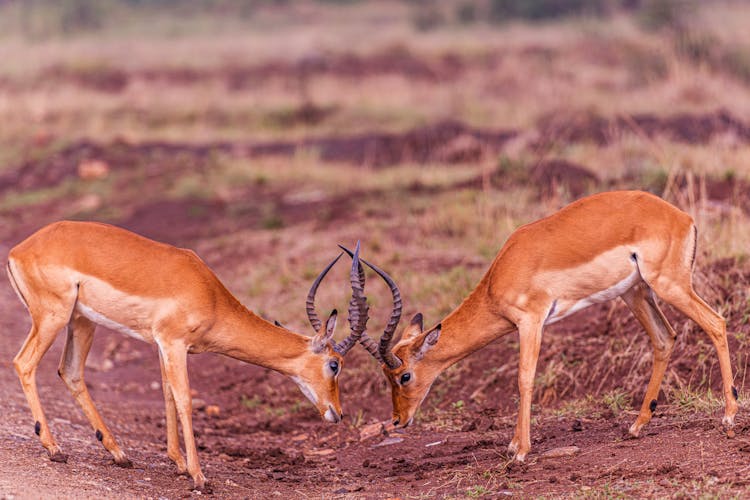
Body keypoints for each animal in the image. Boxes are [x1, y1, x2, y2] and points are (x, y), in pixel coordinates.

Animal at [5, 221, 370, 490]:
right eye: (335, 364)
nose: (337, 413)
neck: (210, 294)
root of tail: (18, 250)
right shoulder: (174, 343)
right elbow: (183, 399)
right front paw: (199, 476)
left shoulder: (162, 344)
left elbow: (167, 394)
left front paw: (178, 464)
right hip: (53, 317)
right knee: (24, 363)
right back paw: (54, 449)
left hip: (81, 321)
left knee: (70, 371)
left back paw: (119, 454)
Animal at [346, 190, 740, 460]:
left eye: (404, 376)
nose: (398, 420)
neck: (502, 273)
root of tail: (683, 217)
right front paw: (513, 444)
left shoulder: (531, 321)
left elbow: (523, 378)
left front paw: (520, 450)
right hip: (635, 293)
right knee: (664, 338)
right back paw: (637, 426)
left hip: (668, 285)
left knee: (716, 322)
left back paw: (729, 416)